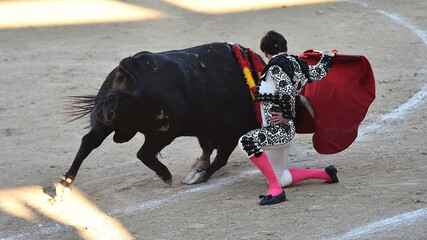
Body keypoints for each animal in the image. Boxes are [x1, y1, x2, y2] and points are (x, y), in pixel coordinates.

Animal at [62, 42, 268, 189]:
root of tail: (131, 64)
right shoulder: (230, 133)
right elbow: (219, 158)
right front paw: (198, 175)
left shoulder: (206, 130)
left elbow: (207, 149)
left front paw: (197, 167)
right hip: (163, 133)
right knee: (143, 153)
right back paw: (166, 175)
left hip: (105, 121)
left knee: (88, 142)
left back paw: (66, 181)